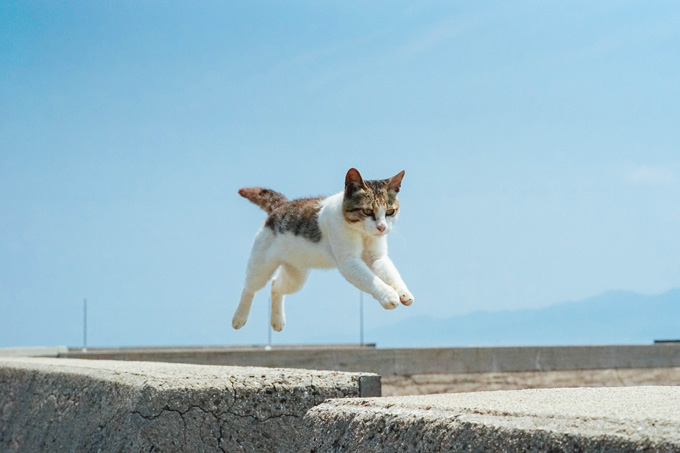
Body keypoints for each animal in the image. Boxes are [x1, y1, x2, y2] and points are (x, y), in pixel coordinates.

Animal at [232, 168, 414, 330]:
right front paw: (388, 295)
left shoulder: (377, 258)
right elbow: (372, 280)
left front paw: (403, 292)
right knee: (249, 288)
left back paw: (277, 321)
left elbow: (391, 273)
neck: (362, 233)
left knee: (276, 285)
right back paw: (239, 318)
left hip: (296, 277)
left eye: (390, 211)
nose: (382, 227)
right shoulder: (349, 263)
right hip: (261, 266)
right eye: (368, 211)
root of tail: (282, 205)